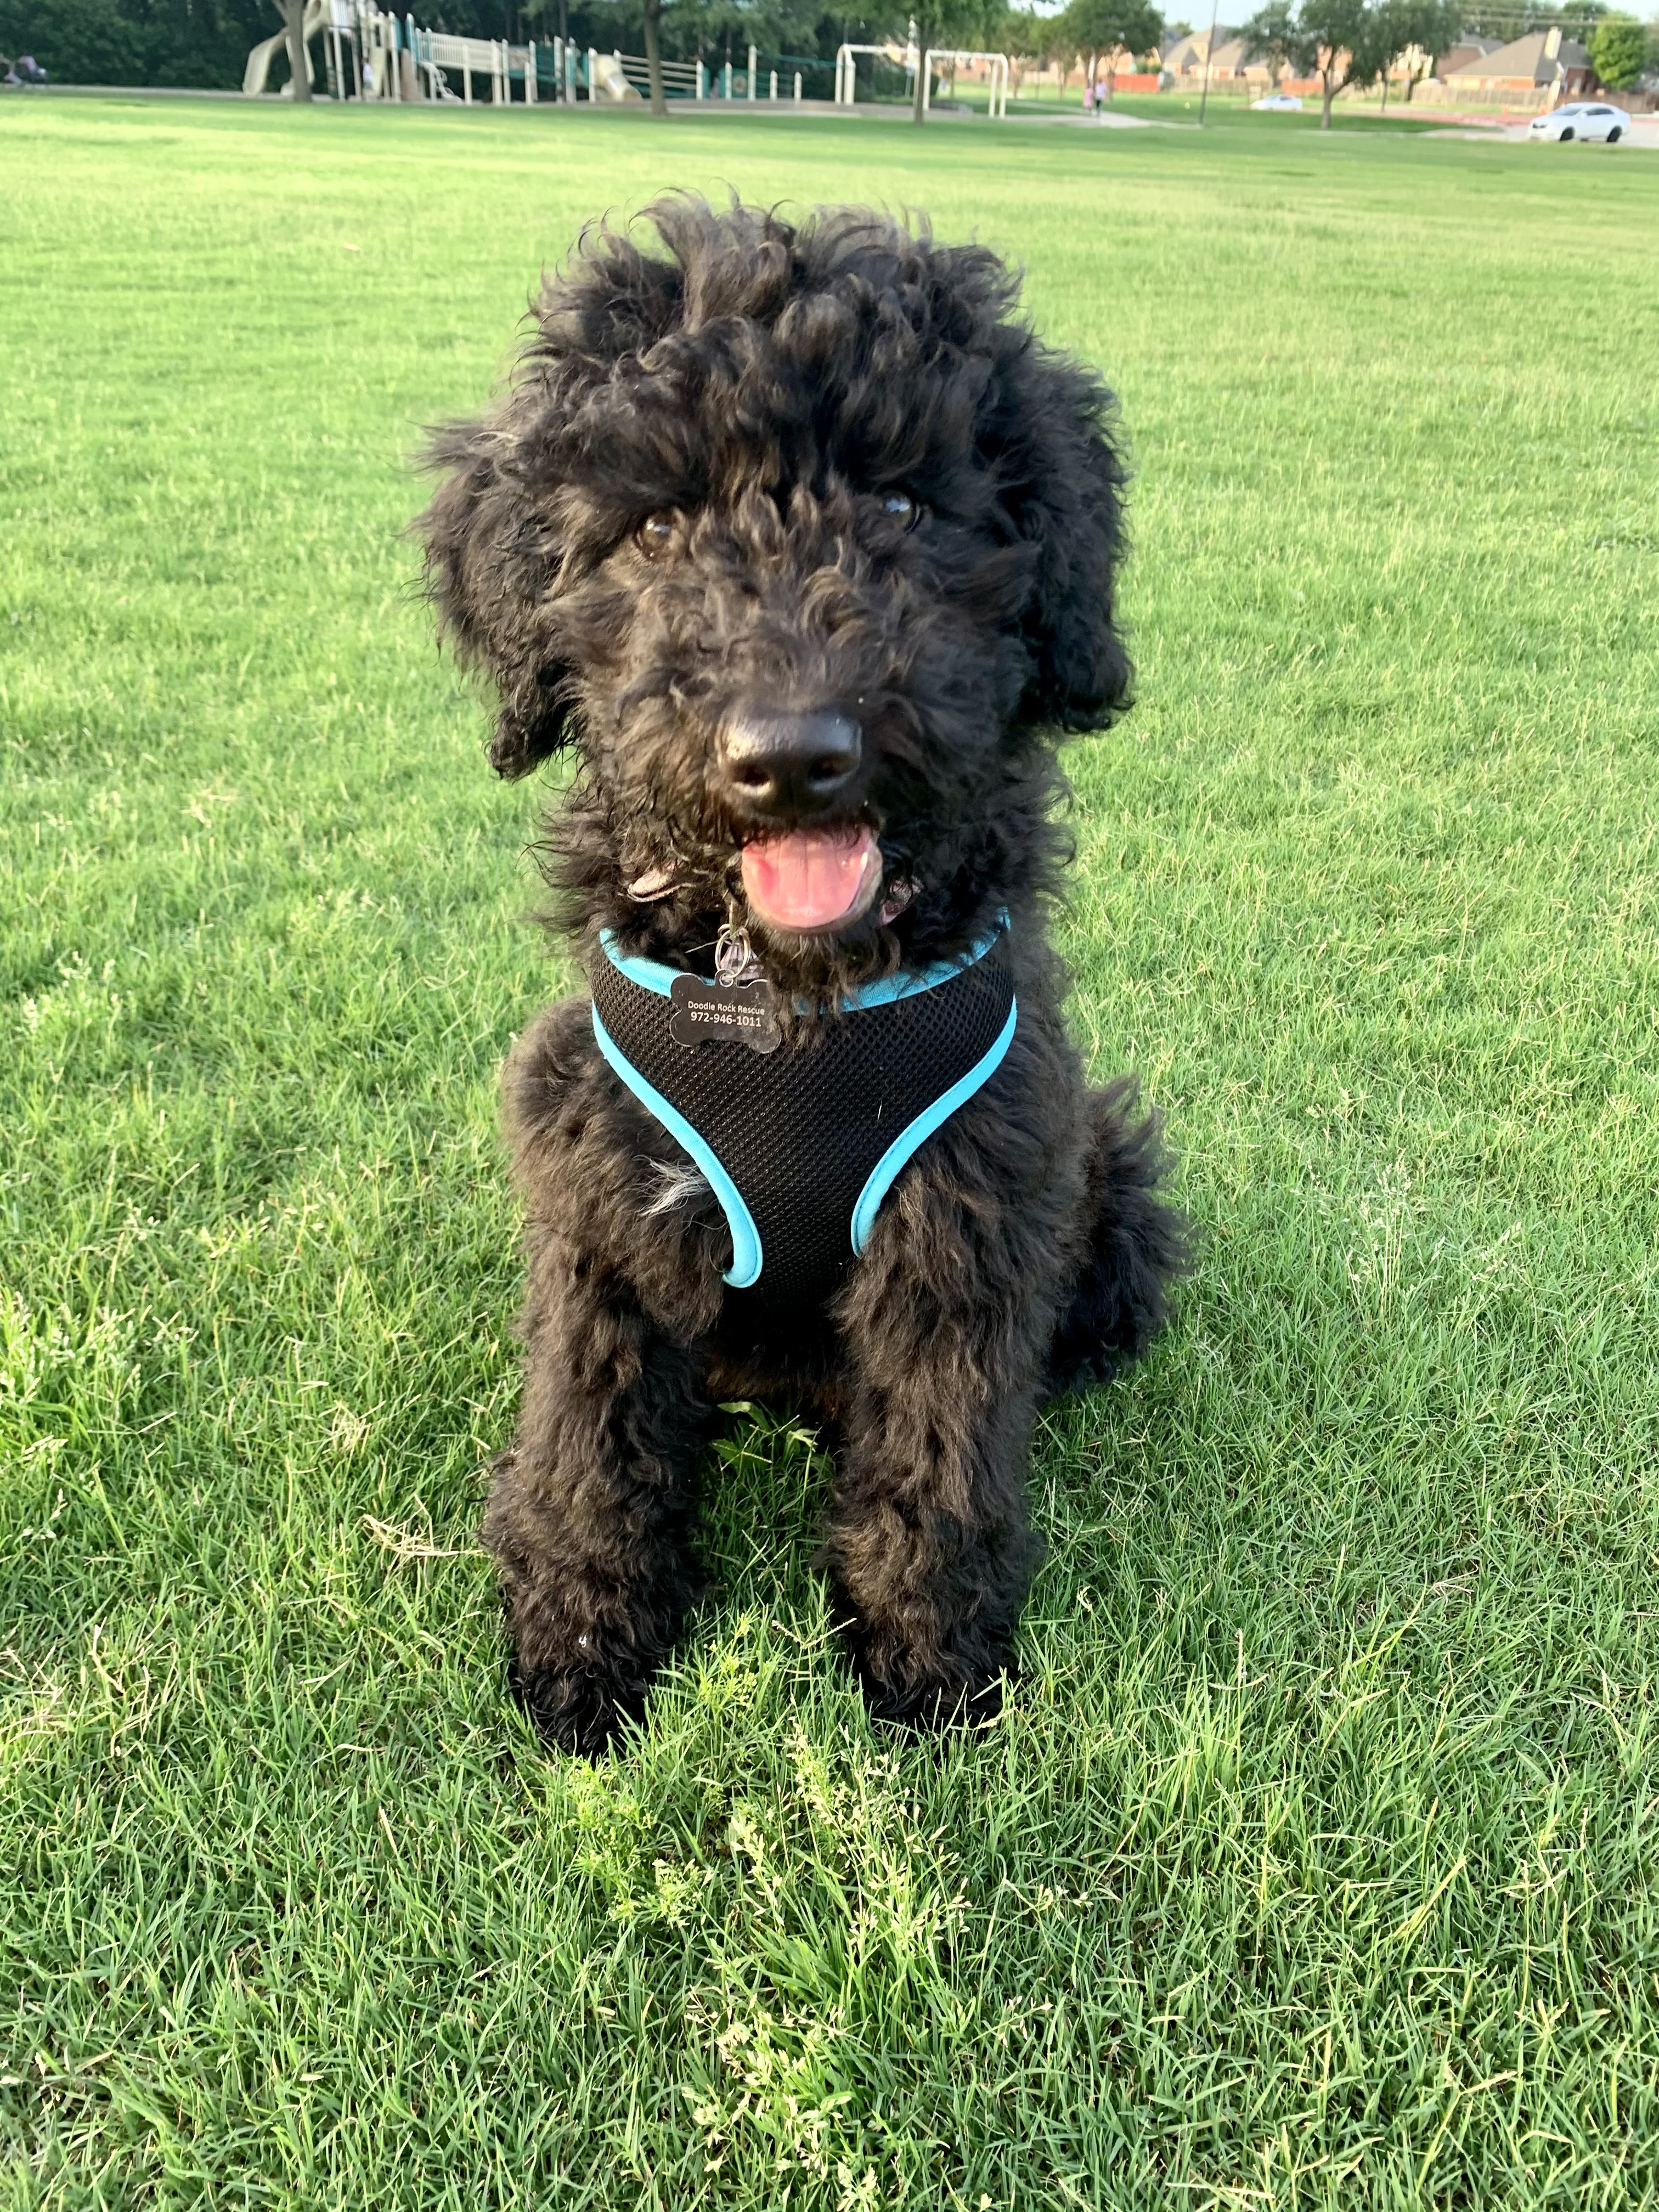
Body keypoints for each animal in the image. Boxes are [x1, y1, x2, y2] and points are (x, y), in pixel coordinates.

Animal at [417, 197, 1185, 1754]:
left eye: (899, 508)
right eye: (657, 526)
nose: (791, 755)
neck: (788, 1007)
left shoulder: (972, 1208)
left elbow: (941, 1459)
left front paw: (928, 1665)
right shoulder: (602, 1195)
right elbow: (588, 1444)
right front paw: (580, 1648)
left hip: (1113, 1175)